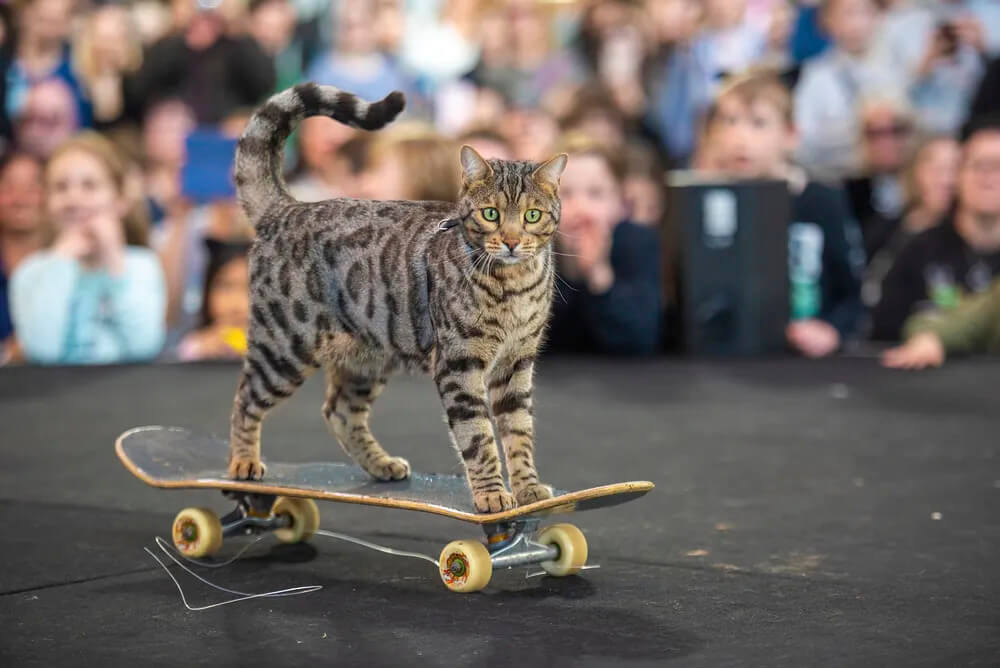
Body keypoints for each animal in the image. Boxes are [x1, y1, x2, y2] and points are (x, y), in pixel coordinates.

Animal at [229, 82, 568, 512]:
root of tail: (285, 209)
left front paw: (527, 488)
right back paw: (243, 462)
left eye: (532, 216)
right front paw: (492, 494)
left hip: (368, 357)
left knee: (339, 411)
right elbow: (478, 437)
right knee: (245, 399)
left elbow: (519, 433)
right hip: (283, 347)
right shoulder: (459, 364)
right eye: (490, 214)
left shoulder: (516, 363)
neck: (513, 285)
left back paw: (381, 464)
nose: (510, 241)